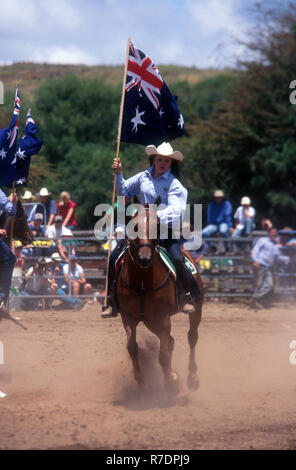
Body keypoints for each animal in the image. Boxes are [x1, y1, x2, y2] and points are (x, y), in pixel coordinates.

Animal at [115, 205, 204, 392]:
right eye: (134, 226)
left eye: (157, 227)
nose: (144, 258)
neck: (142, 282)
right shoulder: (128, 317)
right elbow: (132, 347)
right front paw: (141, 382)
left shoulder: (163, 317)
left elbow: (162, 355)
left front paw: (169, 383)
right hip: (150, 321)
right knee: (171, 341)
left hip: (196, 308)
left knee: (191, 336)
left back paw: (192, 377)